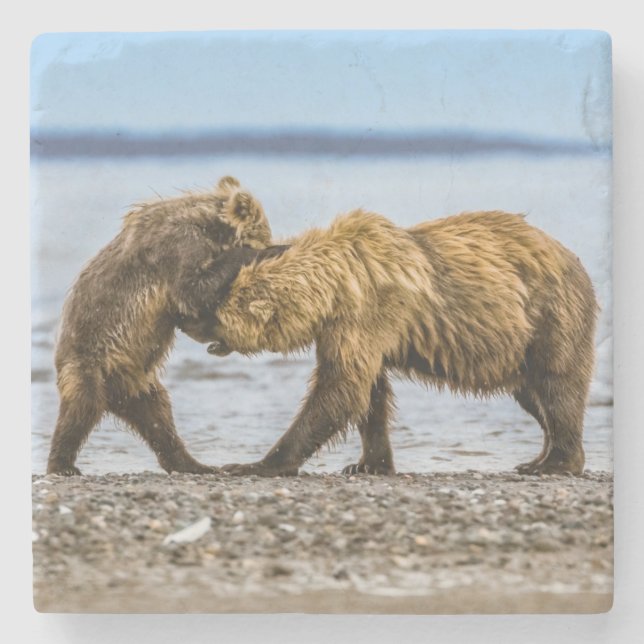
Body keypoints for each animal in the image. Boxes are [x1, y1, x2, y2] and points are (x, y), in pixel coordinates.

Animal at [46, 176, 286, 476]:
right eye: (266, 232)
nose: (272, 241)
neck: (209, 227)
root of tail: (114, 396)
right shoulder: (177, 247)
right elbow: (193, 290)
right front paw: (269, 250)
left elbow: (193, 307)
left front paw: (220, 342)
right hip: (88, 361)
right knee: (81, 408)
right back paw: (62, 465)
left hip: (137, 380)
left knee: (158, 417)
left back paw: (194, 464)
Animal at [179, 208, 598, 477]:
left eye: (209, 306)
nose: (183, 322)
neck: (333, 285)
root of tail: (572, 257)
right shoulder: (349, 328)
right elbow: (369, 392)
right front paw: (368, 463)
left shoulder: (369, 311)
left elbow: (340, 388)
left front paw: (254, 463)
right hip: (520, 347)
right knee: (532, 395)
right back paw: (539, 458)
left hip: (549, 317)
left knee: (557, 386)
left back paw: (556, 462)